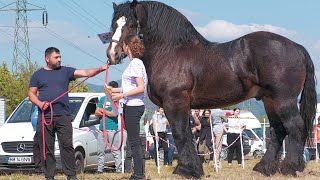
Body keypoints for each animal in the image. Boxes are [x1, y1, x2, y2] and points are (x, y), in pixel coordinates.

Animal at [106, 0, 316, 177]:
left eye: (131, 25)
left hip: (284, 100)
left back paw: (290, 168)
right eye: (114, 25)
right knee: (277, 130)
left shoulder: (175, 102)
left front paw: (185, 170)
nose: (112, 54)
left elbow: (180, 134)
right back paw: (263, 168)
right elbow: (186, 134)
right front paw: (192, 168)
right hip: (269, 100)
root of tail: (298, 48)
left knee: (295, 127)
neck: (170, 51)